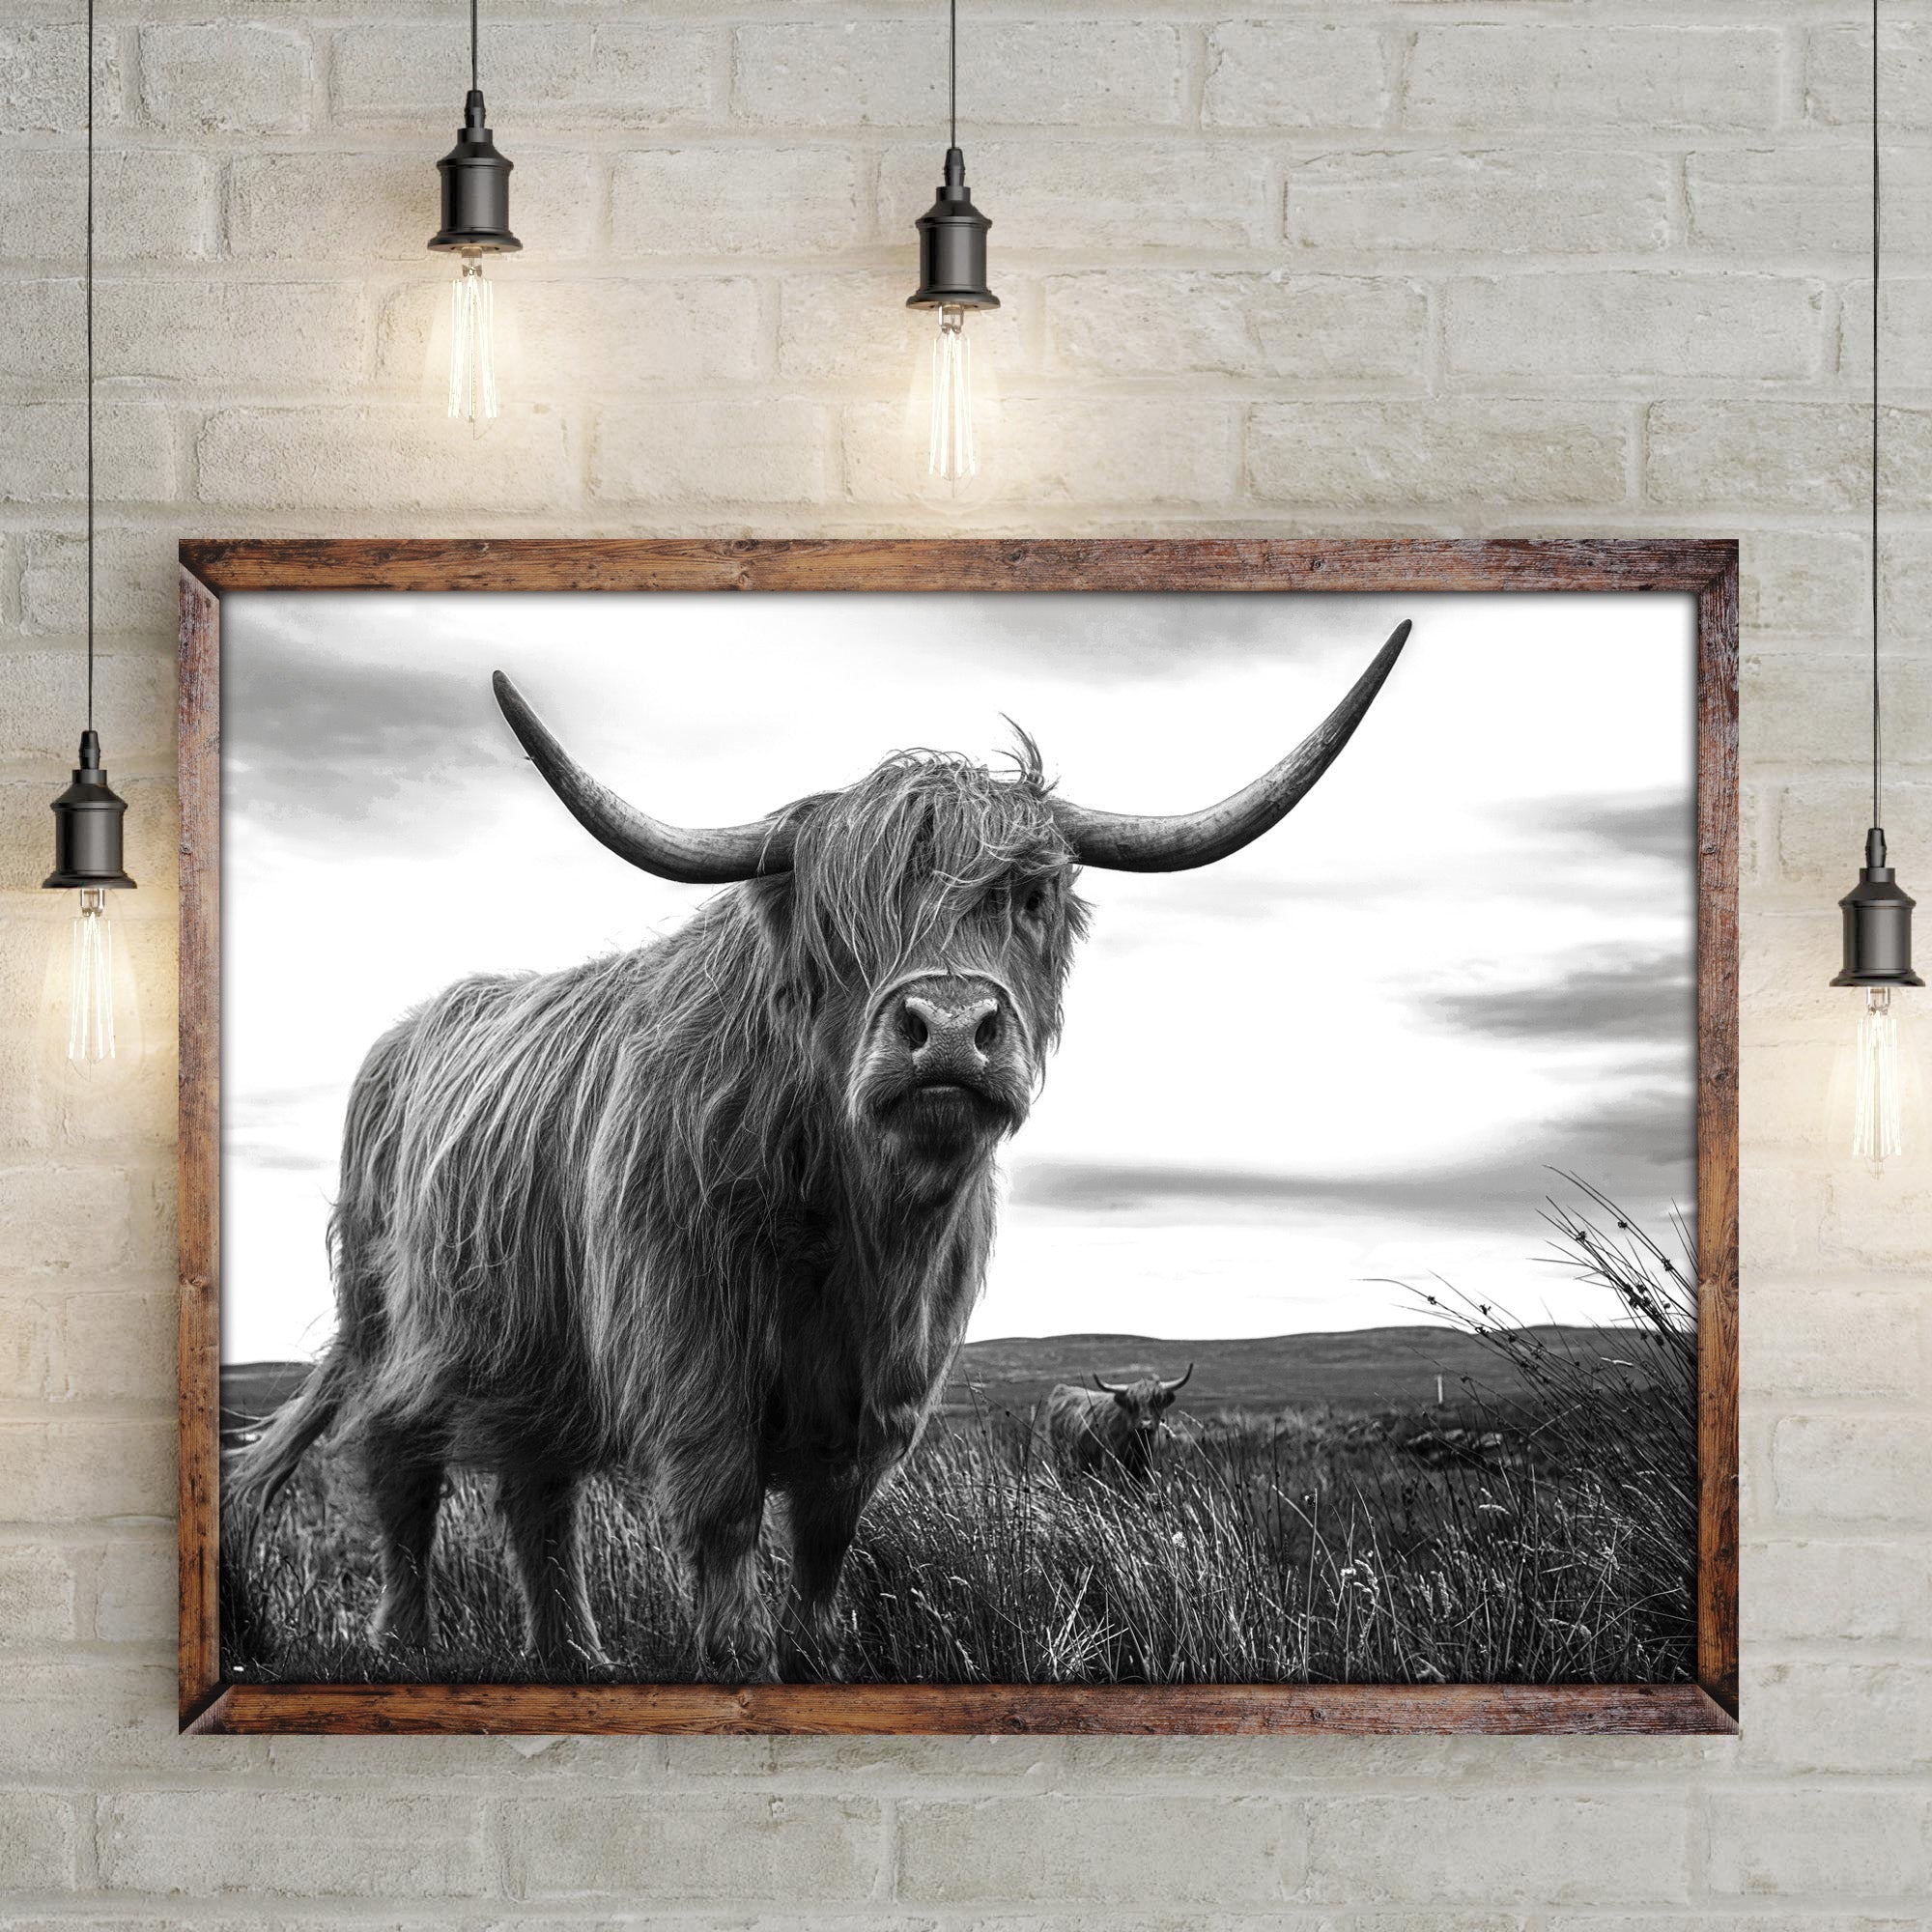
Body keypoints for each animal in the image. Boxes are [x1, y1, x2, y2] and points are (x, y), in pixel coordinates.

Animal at [1040, 1366, 1194, 1483]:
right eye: (1132, 1405)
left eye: (1157, 1402)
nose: (1145, 1425)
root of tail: (1062, 1389)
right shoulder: (1112, 1464)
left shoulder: (1143, 1467)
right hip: (1060, 1458)